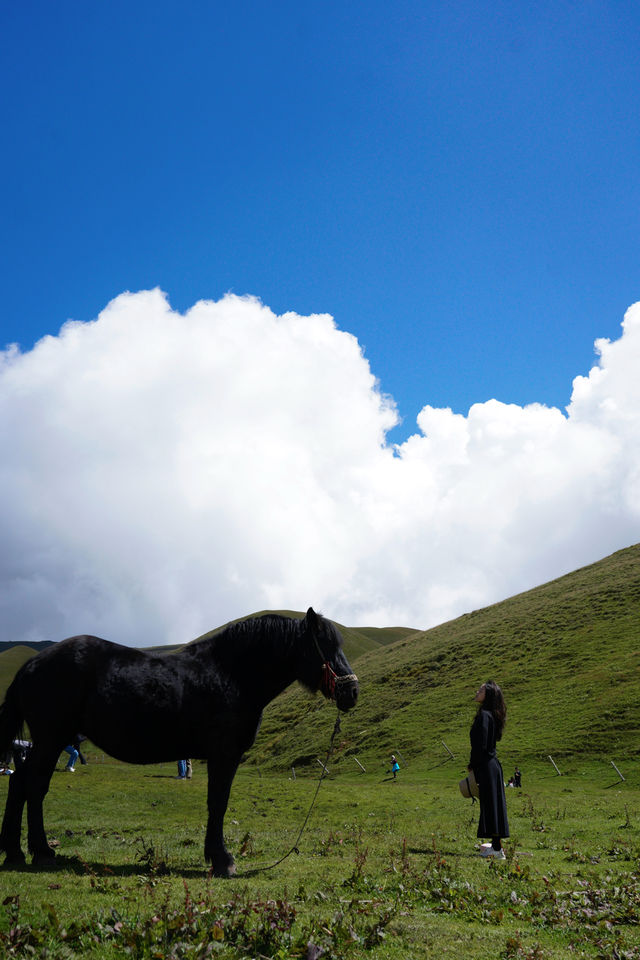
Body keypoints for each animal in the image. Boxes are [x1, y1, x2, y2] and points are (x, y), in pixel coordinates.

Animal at [0, 612, 360, 872]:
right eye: (325, 646)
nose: (352, 692)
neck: (231, 675)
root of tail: (31, 665)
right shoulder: (224, 755)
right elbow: (218, 802)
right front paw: (222, 859)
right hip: (51, 739)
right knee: (34, 786)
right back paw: (42, 852)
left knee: (19, 783)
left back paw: (16, 852)